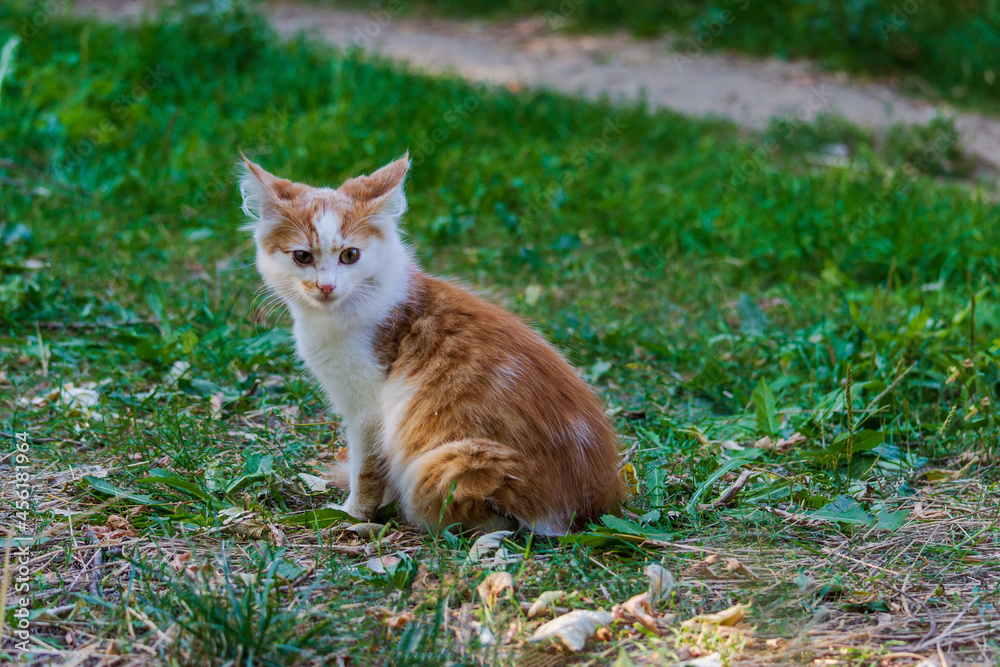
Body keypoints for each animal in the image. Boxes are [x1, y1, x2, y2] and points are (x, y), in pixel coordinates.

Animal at [238, 154, 624, 536]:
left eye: (350, 255)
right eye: (303, 257)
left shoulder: (370, 409)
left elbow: (366, 470)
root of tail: (597, 505)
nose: (326, 286)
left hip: (454, 459)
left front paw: (353, 515)